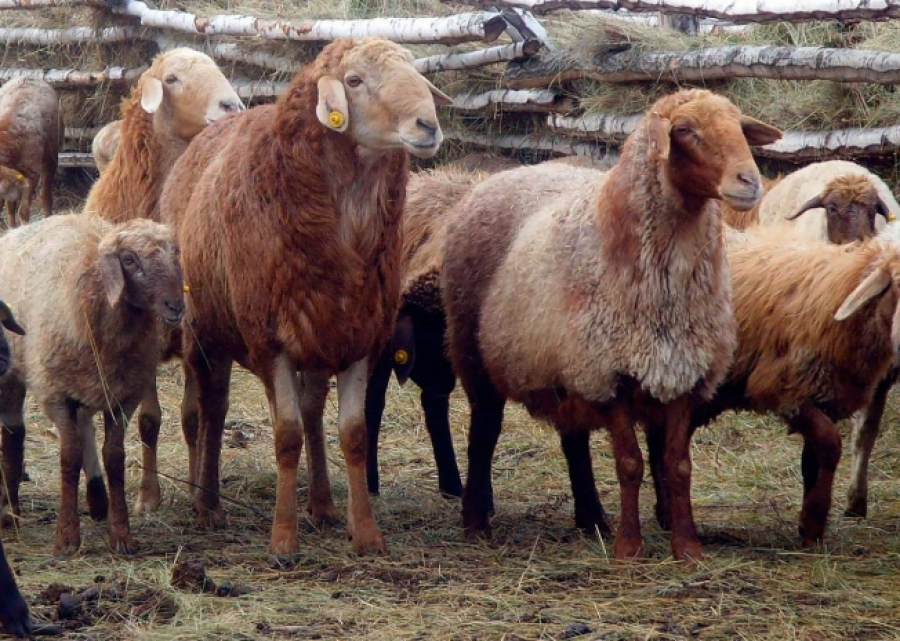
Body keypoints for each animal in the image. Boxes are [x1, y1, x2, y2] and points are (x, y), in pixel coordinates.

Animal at [0, 78, 62, 228]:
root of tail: (29, 77)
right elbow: (10, 207)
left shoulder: (31, 172)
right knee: (11, 206)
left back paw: (48, 216)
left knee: (45, 193)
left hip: (51, 157)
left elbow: (23, 211)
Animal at [0, 214, 185, 556]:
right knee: (14, 433)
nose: (175, 306)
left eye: (175, 255)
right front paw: (66, 538)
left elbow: (114, 457)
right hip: (16, 371)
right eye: (129, 260)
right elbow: (69, 457)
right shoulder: (57, 394)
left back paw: (98, 500)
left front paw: (122, 536)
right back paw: (10, 510)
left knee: (84, 425)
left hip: (87, 381)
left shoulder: (123, 397)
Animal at [159, 37, 454, 552]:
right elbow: (286, 435)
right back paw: (207, 503)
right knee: (211, 409)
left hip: (318, 332)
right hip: (205, 330)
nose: (427, 125)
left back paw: (322, 505)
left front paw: (366, 534)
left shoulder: (360, 335)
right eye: (354, 81)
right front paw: (282, 540)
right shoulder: (270, 341)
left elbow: (352, 434)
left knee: (312, 408)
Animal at [442, 89, 780, 560]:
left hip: (566, 366)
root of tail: (499, 175)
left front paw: (687, 546)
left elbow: (678, 466)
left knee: (573, 439)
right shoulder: (610, 372)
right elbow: (629, 463)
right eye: (685, 130)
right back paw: (476, 521)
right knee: (484, 432)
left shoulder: (683, 371)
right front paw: (629, 548)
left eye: (739, 126)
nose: (750, 182)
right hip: (475, 351)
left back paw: (592, 518)